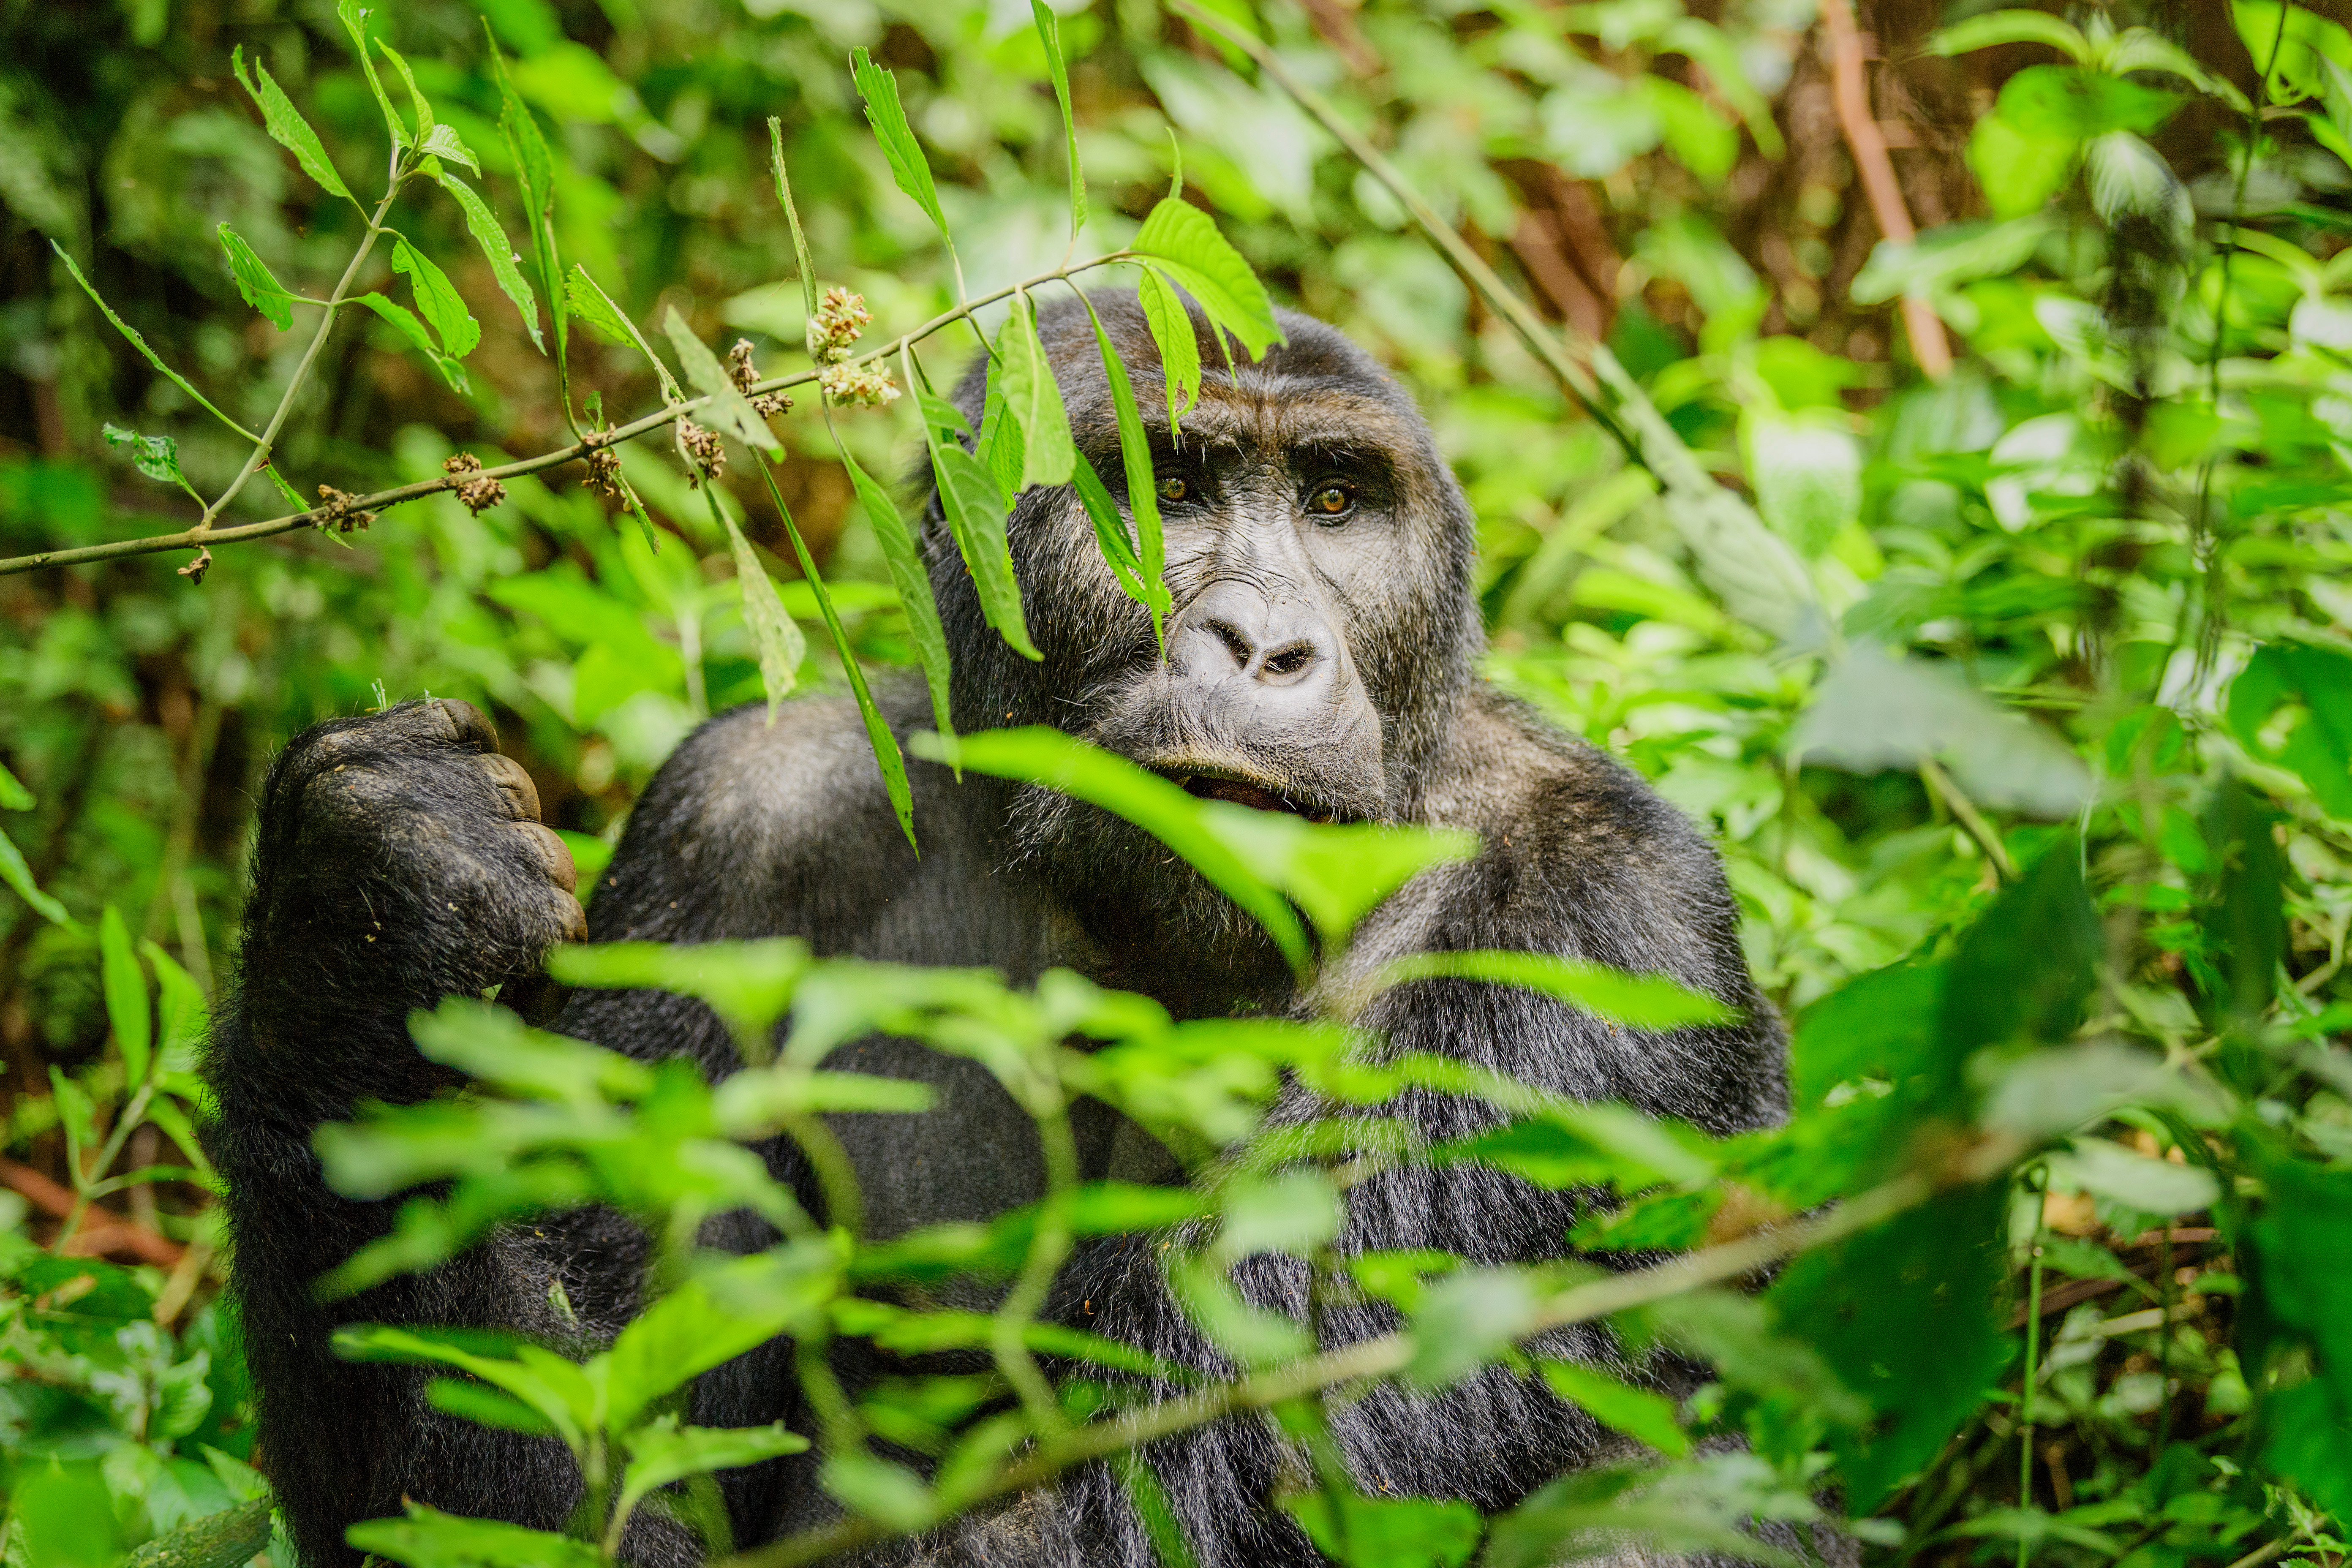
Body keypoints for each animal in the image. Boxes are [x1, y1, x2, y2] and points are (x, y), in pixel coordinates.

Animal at [203, 289, 1787, 1567]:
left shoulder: (1597, 921)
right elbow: (606, 1440)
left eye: (1337, 505)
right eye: (1166, 487)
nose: (1265, 646)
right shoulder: (727, 831)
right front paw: (359, 926)